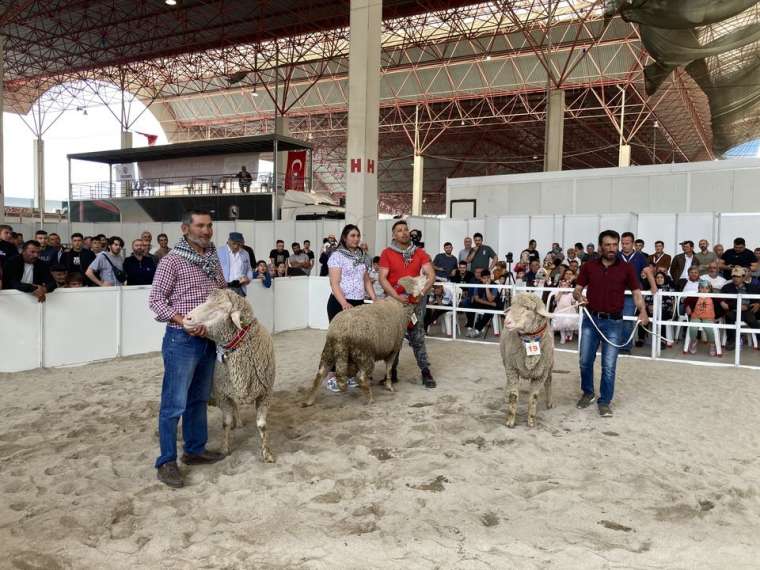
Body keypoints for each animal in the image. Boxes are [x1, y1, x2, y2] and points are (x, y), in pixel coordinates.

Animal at [184, 286, 276, 460]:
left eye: (221, 308)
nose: (186, 318)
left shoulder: (265, 393)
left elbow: (262, 425)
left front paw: (267, 454)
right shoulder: (222, 394)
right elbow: (225, 422)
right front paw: (224, 449)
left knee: (236, 406)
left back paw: (238, 422)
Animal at [306, 274, 430, 404]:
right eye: (417, 281)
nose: (426, 275)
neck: (400, 306)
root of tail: (340, 333)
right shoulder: (393, 349)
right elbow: (389, 369)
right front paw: (389, 386)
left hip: (328, 351)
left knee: (320, 375)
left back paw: (309, 400)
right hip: (364, 354)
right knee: (361, 377)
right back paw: (370, 398)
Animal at [502, 292, 556, 426]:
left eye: (527, 308)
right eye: (512, 305)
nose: (507, 322)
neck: (530, 339)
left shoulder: (541, 374)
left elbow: (533, 398)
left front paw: (531, 421)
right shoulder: (512, 368)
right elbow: (513, 396)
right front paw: (510, 420)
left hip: (550, 366)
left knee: (549, 382)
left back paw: (549, 402)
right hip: (507, 363)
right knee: (508, 382)